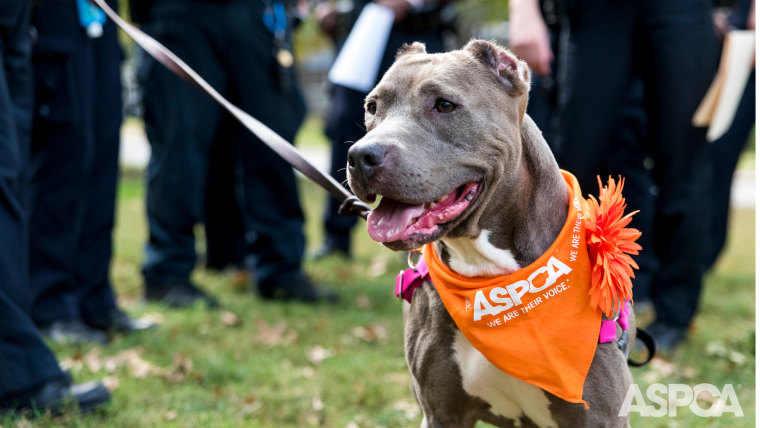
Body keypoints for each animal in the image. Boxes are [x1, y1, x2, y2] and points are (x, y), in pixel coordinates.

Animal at [344, 39, 636, 424]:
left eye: (444, 105)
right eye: (373, 107)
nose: (360, 156)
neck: (488, 273)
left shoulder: (600, 417)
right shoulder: (441, 412)